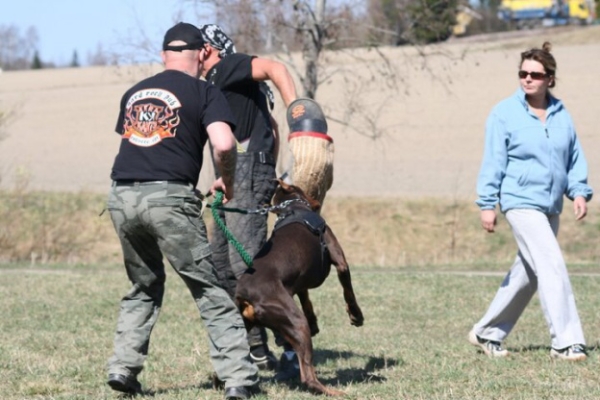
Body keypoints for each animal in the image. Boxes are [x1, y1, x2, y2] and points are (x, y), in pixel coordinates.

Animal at [234, 180, 366, 396]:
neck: (292, 208)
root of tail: (245, 297)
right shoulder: (340, 260)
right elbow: (348, 290)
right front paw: (356, 316)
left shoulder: (298, 283)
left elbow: (306, 300)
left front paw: (314, 322)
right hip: (295, 322)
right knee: (308, 376)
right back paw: (334, 392)